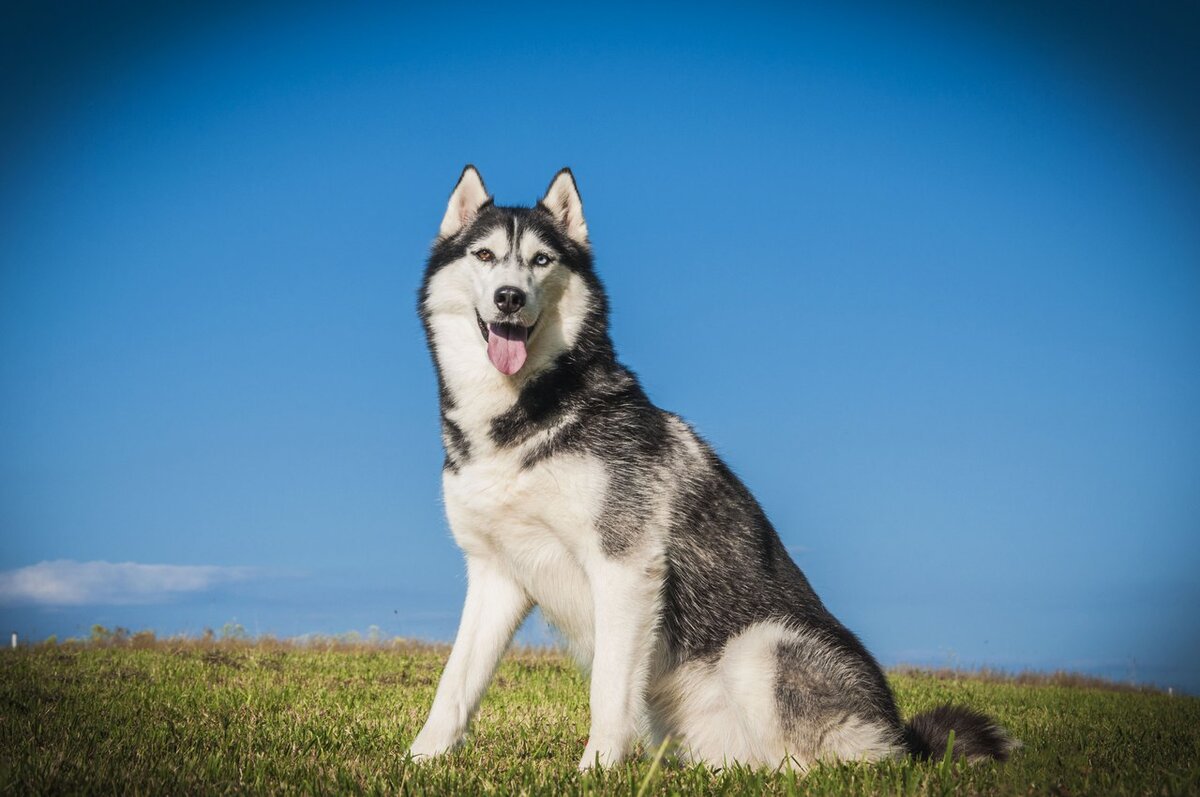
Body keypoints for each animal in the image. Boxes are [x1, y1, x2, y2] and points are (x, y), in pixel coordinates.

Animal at [412, 168, 1012, 772]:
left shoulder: (625, 564)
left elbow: (607, 688)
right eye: (485, 255)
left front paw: (596, 769)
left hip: (763, 645)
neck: (522, 418)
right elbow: (454, 682)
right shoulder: (495, 573)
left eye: (541, 260)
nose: (509, 297)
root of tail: (903, 740)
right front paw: (422, 758)